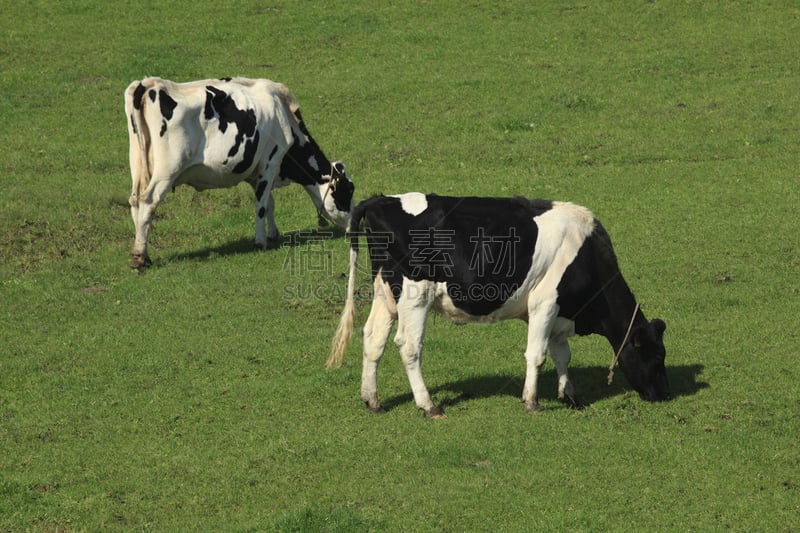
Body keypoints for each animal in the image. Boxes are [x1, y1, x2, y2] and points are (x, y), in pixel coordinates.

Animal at [123, 77, 354, 268]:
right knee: (148, 202)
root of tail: (150, 84)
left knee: (135, 202)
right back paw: (140, 258)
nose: (354, 227)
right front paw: (260, 241)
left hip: (137, 163)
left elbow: (269, 203)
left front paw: (273, 234)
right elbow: (261, 206)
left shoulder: (255, 170)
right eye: (347, 192)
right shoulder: (270, 162)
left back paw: (142, 251)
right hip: (167, 169)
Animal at [328, 193, 672, 418]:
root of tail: (382, 199)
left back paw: (372, 400)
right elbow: (537, 355)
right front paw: (532, 402)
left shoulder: (559, 314)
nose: (665, 395)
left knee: (373, 338)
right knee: (409, 346)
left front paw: (569, 395)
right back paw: (428, 405)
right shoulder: (545, 303)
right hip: (415, 293)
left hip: (386, 291)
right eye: (656, 357)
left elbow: (562, 354)